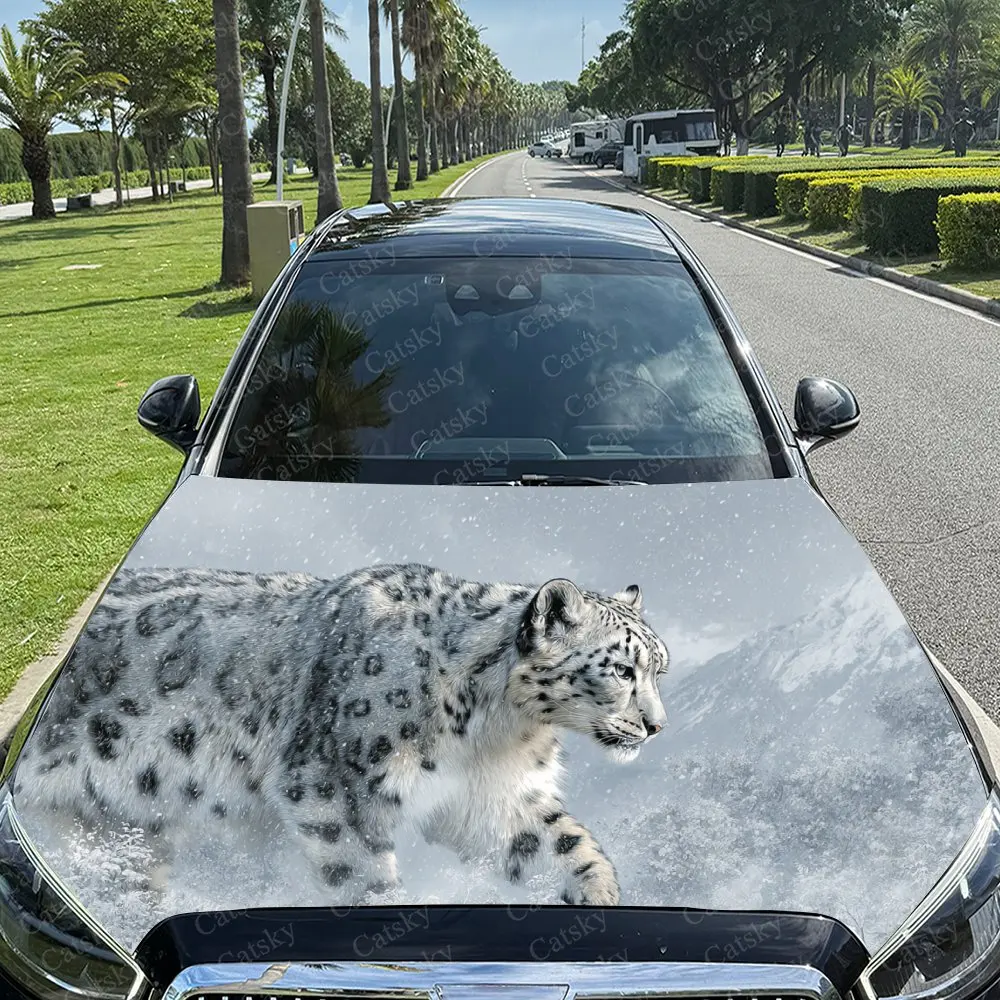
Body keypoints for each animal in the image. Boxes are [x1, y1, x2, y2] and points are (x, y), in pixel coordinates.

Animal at [14, 562, 669, 906]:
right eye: (622, 669)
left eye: (659, 668)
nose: (656, 725)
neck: (495, 732)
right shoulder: (334, 785)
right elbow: (360, 871)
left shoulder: (495, 796)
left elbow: (560, 844)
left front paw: (599, 894)